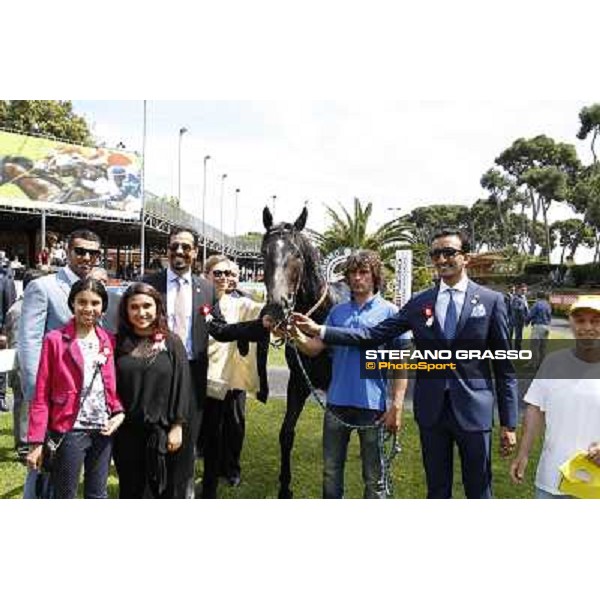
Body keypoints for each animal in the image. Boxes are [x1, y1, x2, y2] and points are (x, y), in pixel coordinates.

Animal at [262, 206, 350, 496]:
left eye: (297, 255)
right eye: (263, 252)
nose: (275, 309)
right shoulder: (298, 382)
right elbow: (286, 433)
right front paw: (284, 487)